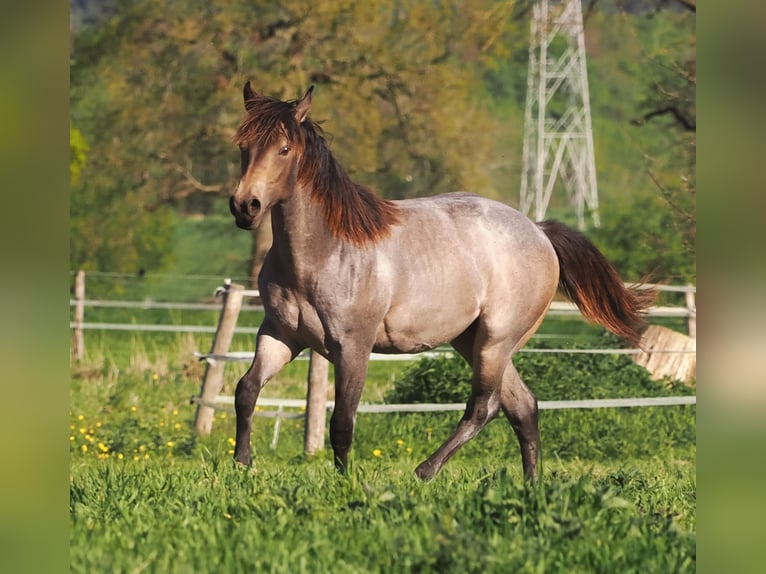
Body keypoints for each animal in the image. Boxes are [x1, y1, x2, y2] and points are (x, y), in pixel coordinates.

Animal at [228, 83, 655, 481]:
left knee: (485, 407)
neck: (324, 252)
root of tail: (538, 230)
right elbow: (246, 390)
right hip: (473, 341)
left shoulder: (352, 347)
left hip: (496, 341)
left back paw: (425, 471)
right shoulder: (281, 336)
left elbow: (342, 423)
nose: (244, 206)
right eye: (244, 145)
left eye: (284, 149)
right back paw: (531, 485)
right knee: (523, 407)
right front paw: (242, 465)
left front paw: (345, 482)